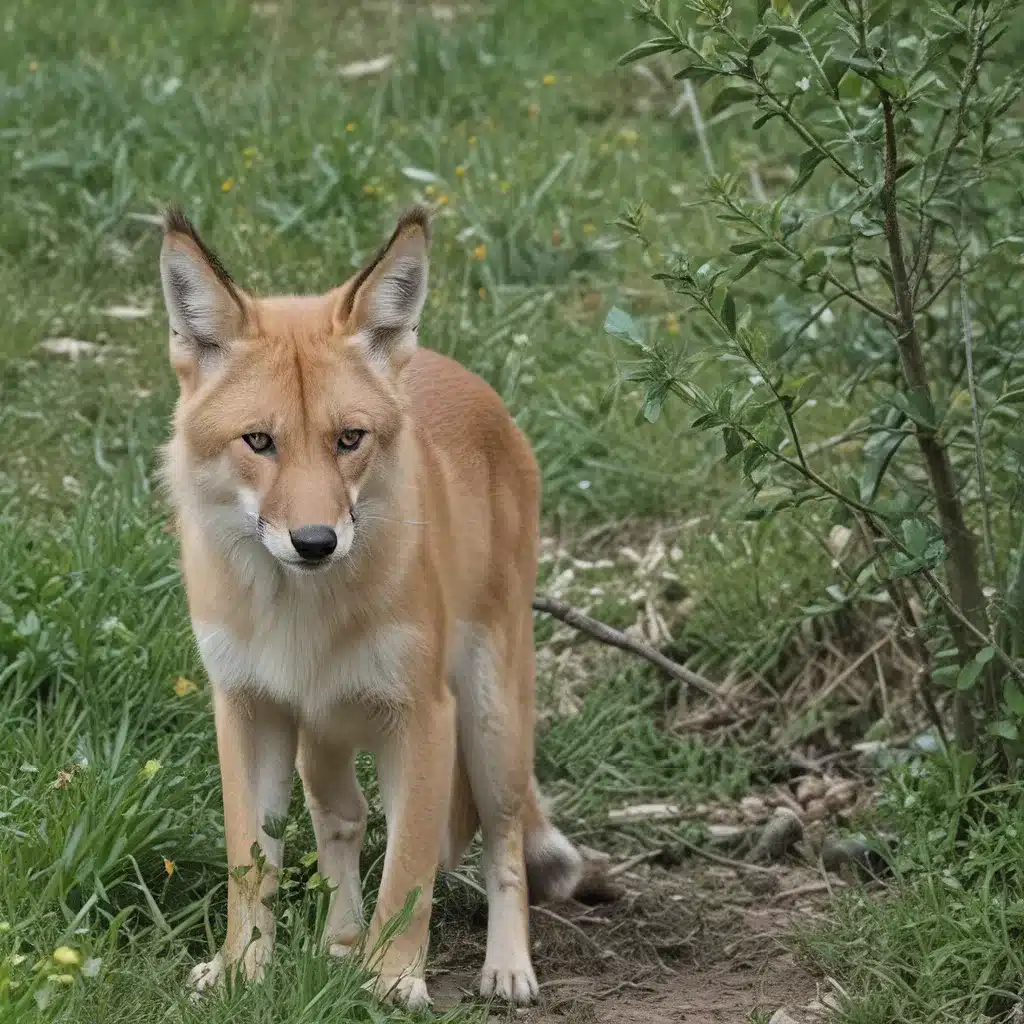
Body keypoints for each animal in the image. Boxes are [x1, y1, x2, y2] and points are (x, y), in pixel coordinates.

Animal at [155, 203, 581, 1003]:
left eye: (349, 438)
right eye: (259, 441)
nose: (316, 541)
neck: (302, 619)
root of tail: (460, 375)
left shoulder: (421, 714)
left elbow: (409, 874)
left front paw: (392, 982)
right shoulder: (250, 707)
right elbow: (249, 865)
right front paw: (242, 971)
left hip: (491, 726)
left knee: (506, 841)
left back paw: (506, 967)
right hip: (318, 737)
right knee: (343, 821)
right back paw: (339, 943)